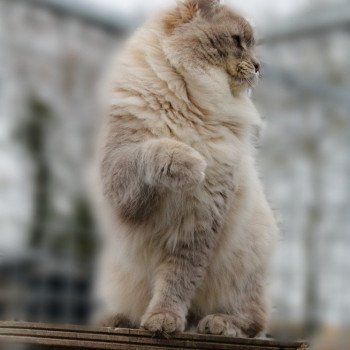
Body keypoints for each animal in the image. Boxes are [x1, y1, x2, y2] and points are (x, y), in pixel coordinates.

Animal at [94, 0, 278, 340]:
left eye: (251, 45)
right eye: (237, 41)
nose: (259, 66)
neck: (194, 95)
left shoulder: (199, 223)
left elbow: (177, 281)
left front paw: (163, 320)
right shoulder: (121, 174)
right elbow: (156, 150)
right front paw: (192, 162)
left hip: (243, 272)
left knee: (253, 322)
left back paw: (217, 324)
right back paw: (118, 320)